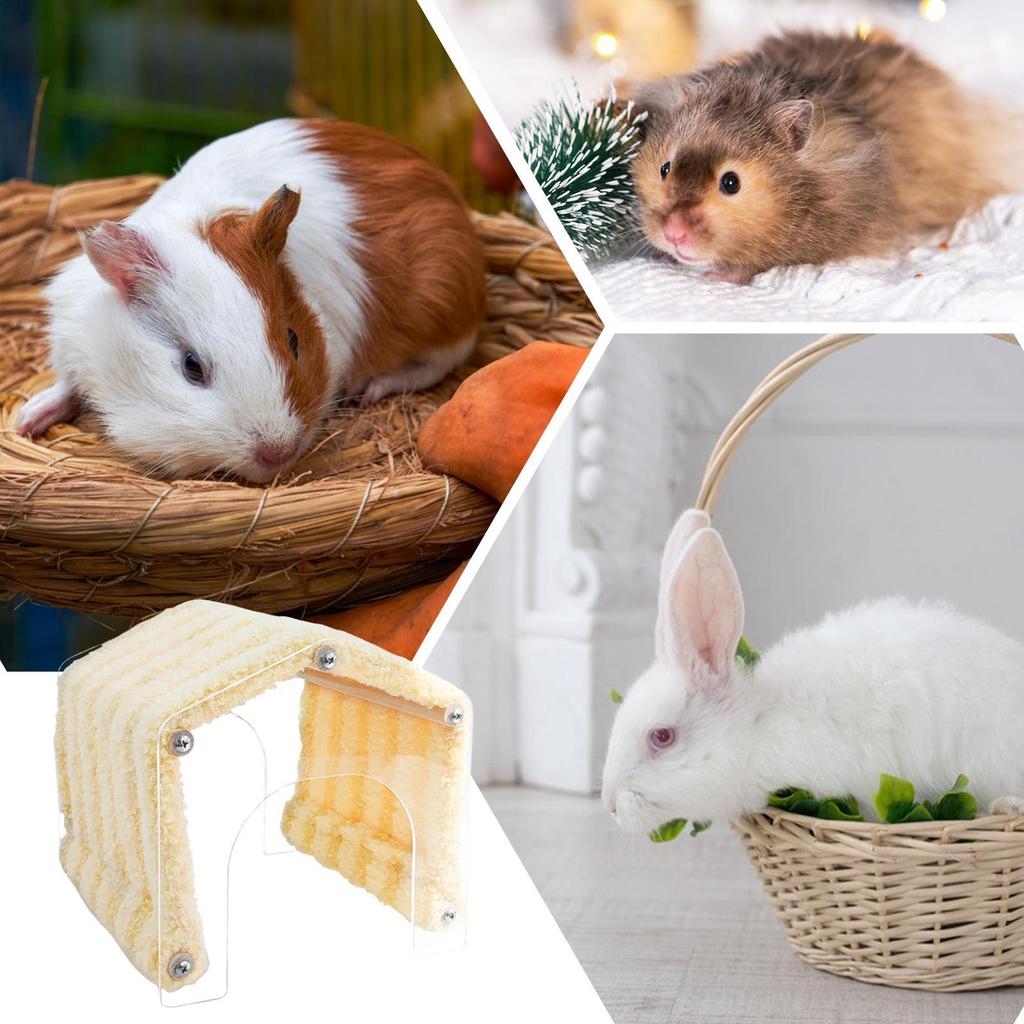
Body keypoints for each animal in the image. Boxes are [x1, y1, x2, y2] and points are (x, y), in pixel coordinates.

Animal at [17, 119, 486, 483]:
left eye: (294, 340)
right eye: (191, 366)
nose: (277, 451)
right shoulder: (70, 338)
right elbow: (65, 384)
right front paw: (26, 422)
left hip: (440, 312)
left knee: (437, 364)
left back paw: (370, 390)